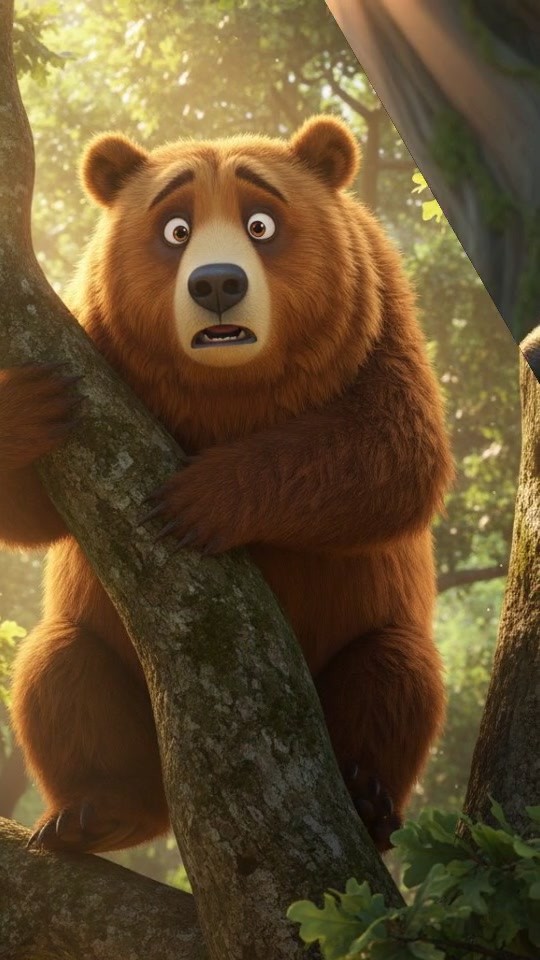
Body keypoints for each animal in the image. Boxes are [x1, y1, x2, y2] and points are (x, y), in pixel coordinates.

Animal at [3, 115, 454, 854]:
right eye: (175, 229)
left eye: (261, 223)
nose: (217, 284)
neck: (230, 389)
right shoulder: (94, 343)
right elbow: (34, 514)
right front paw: (31, 404)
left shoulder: (379, 310)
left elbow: (395, 452)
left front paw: (199, 498)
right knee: (57, 672)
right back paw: (96, 811)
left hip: (372, 632)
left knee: (397, 676)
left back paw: (368, 799)